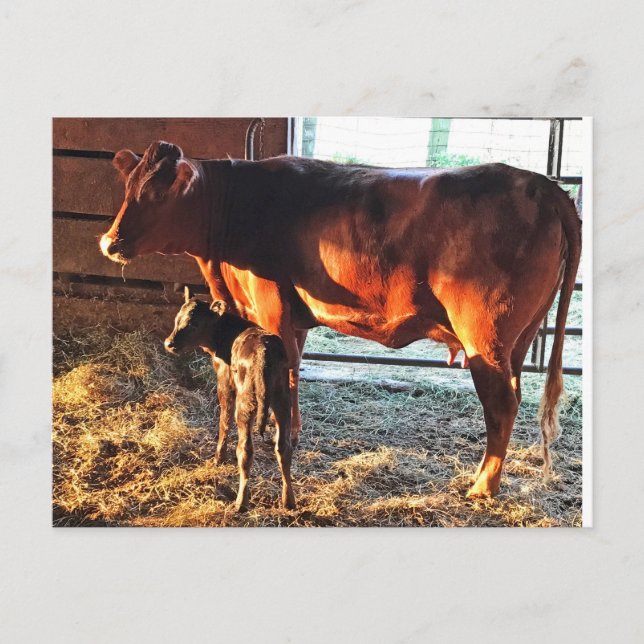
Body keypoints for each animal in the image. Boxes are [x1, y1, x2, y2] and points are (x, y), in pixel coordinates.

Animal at [164, 287, 295, 511]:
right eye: (177, 319)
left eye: (194, 323)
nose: (169, 343)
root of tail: (264, 352)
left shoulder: (224, 382)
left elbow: (223, 420)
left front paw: (219, 457)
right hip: (282, 399)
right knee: (283, 447)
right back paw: (289, 501)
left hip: (246, 402)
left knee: (245, 450)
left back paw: (241, 502)